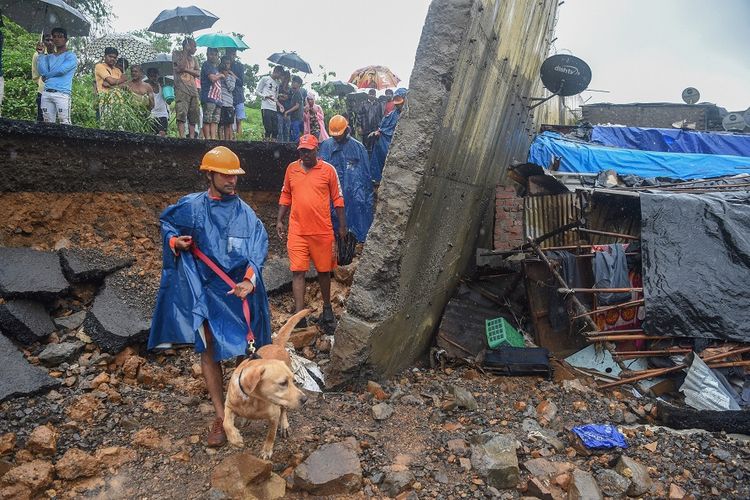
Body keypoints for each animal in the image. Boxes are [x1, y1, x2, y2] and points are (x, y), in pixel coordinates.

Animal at [223, 308, 312, 458]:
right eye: (283, 383)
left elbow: (271, 435)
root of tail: (276, 344)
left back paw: (284, 425)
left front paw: (266, 450)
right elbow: (225, 423)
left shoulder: (273, 416)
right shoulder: (229, 406)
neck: (252, 400)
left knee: (284, 410)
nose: (305, 399)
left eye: (292, 381)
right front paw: (235, 438)